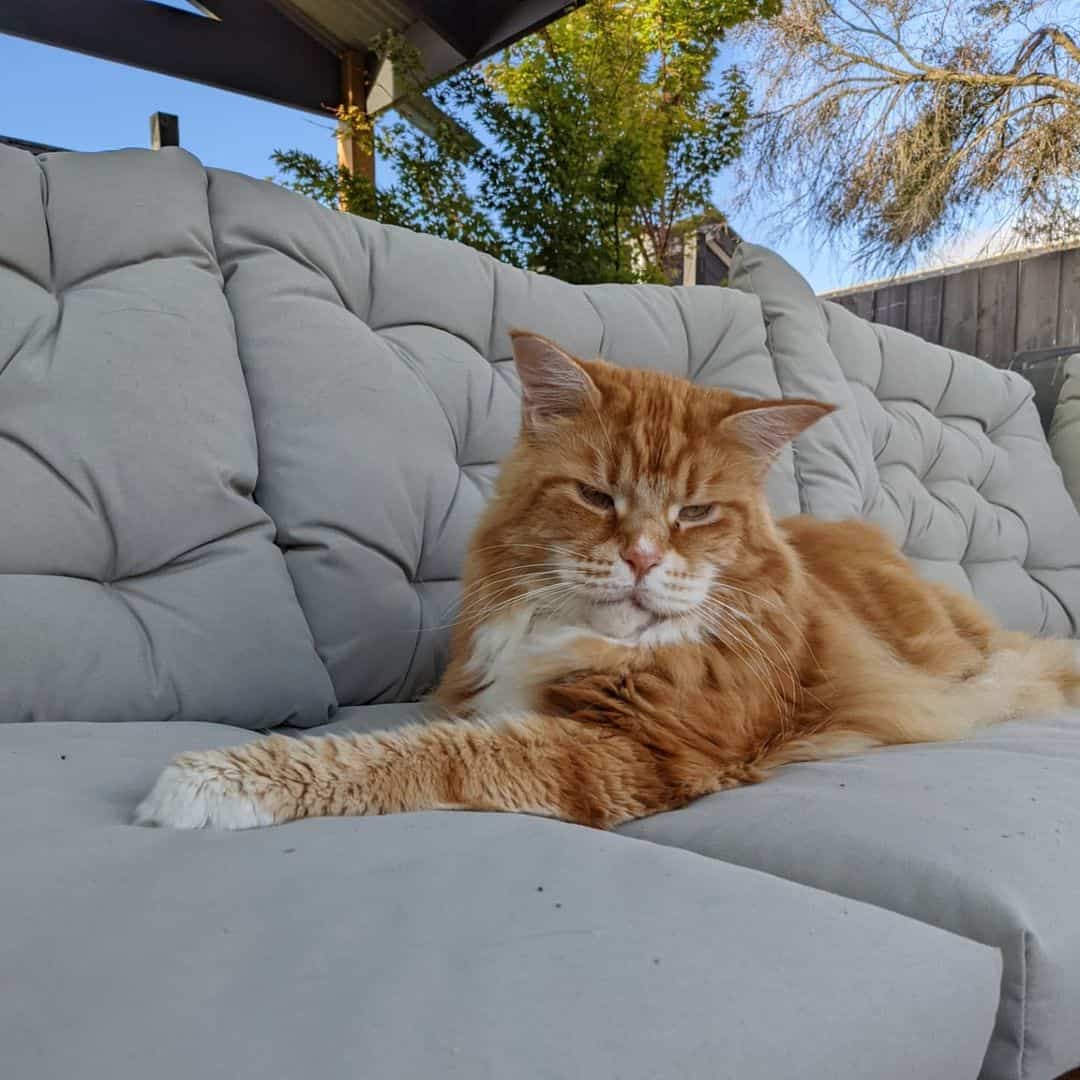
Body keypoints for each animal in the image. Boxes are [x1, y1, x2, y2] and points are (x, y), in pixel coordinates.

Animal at [135, 332, 1080, 829]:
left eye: (696, 513)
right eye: (596, 497)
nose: (642, 558)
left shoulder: (639, 752)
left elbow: (412, 756)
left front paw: (217, 778)